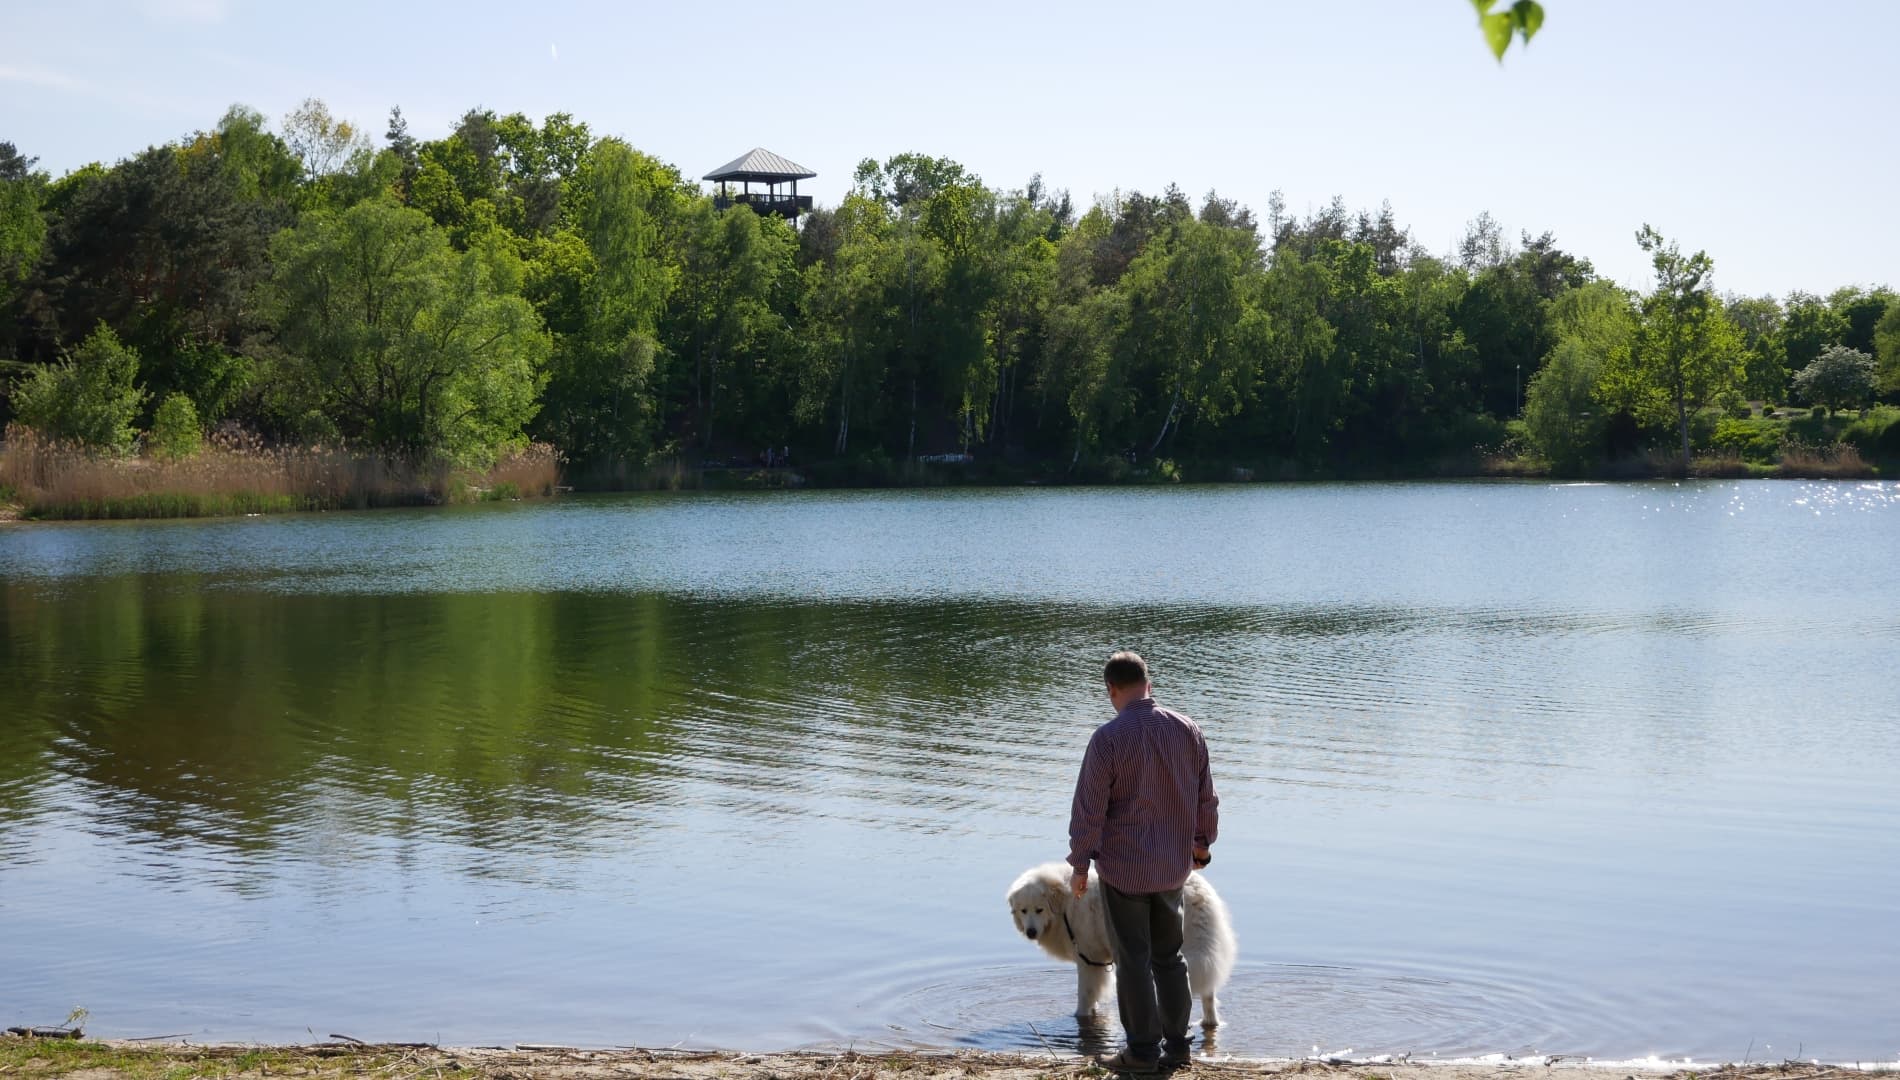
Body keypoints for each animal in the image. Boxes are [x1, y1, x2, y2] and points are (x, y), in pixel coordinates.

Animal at [1003, 859, 1238, 1026]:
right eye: (1023, 911)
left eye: (1039, 910)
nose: (1031, 932)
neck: (1065, 904)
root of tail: (1199, 893)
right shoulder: (1096, 959)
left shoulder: (1087, 957)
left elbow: (1085, 992)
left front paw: (1080, 1014)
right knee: (1208, 991)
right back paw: (1209, 1021)